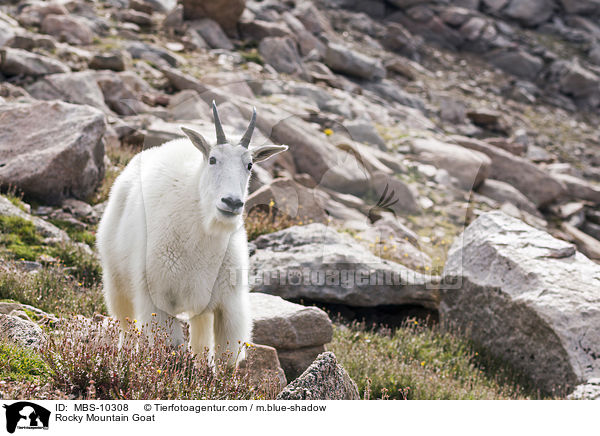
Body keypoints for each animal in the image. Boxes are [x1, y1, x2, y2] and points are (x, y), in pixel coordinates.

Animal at [96, 102, 288, 364]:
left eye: (249, 165)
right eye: (213, 159)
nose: (231, 202)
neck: (203, 235)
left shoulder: (228, 304)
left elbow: (225, 359)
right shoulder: (155, 300)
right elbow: (170, 349)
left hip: (201, 311)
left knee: (199, 341)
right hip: (116, 281)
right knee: (125, 326)